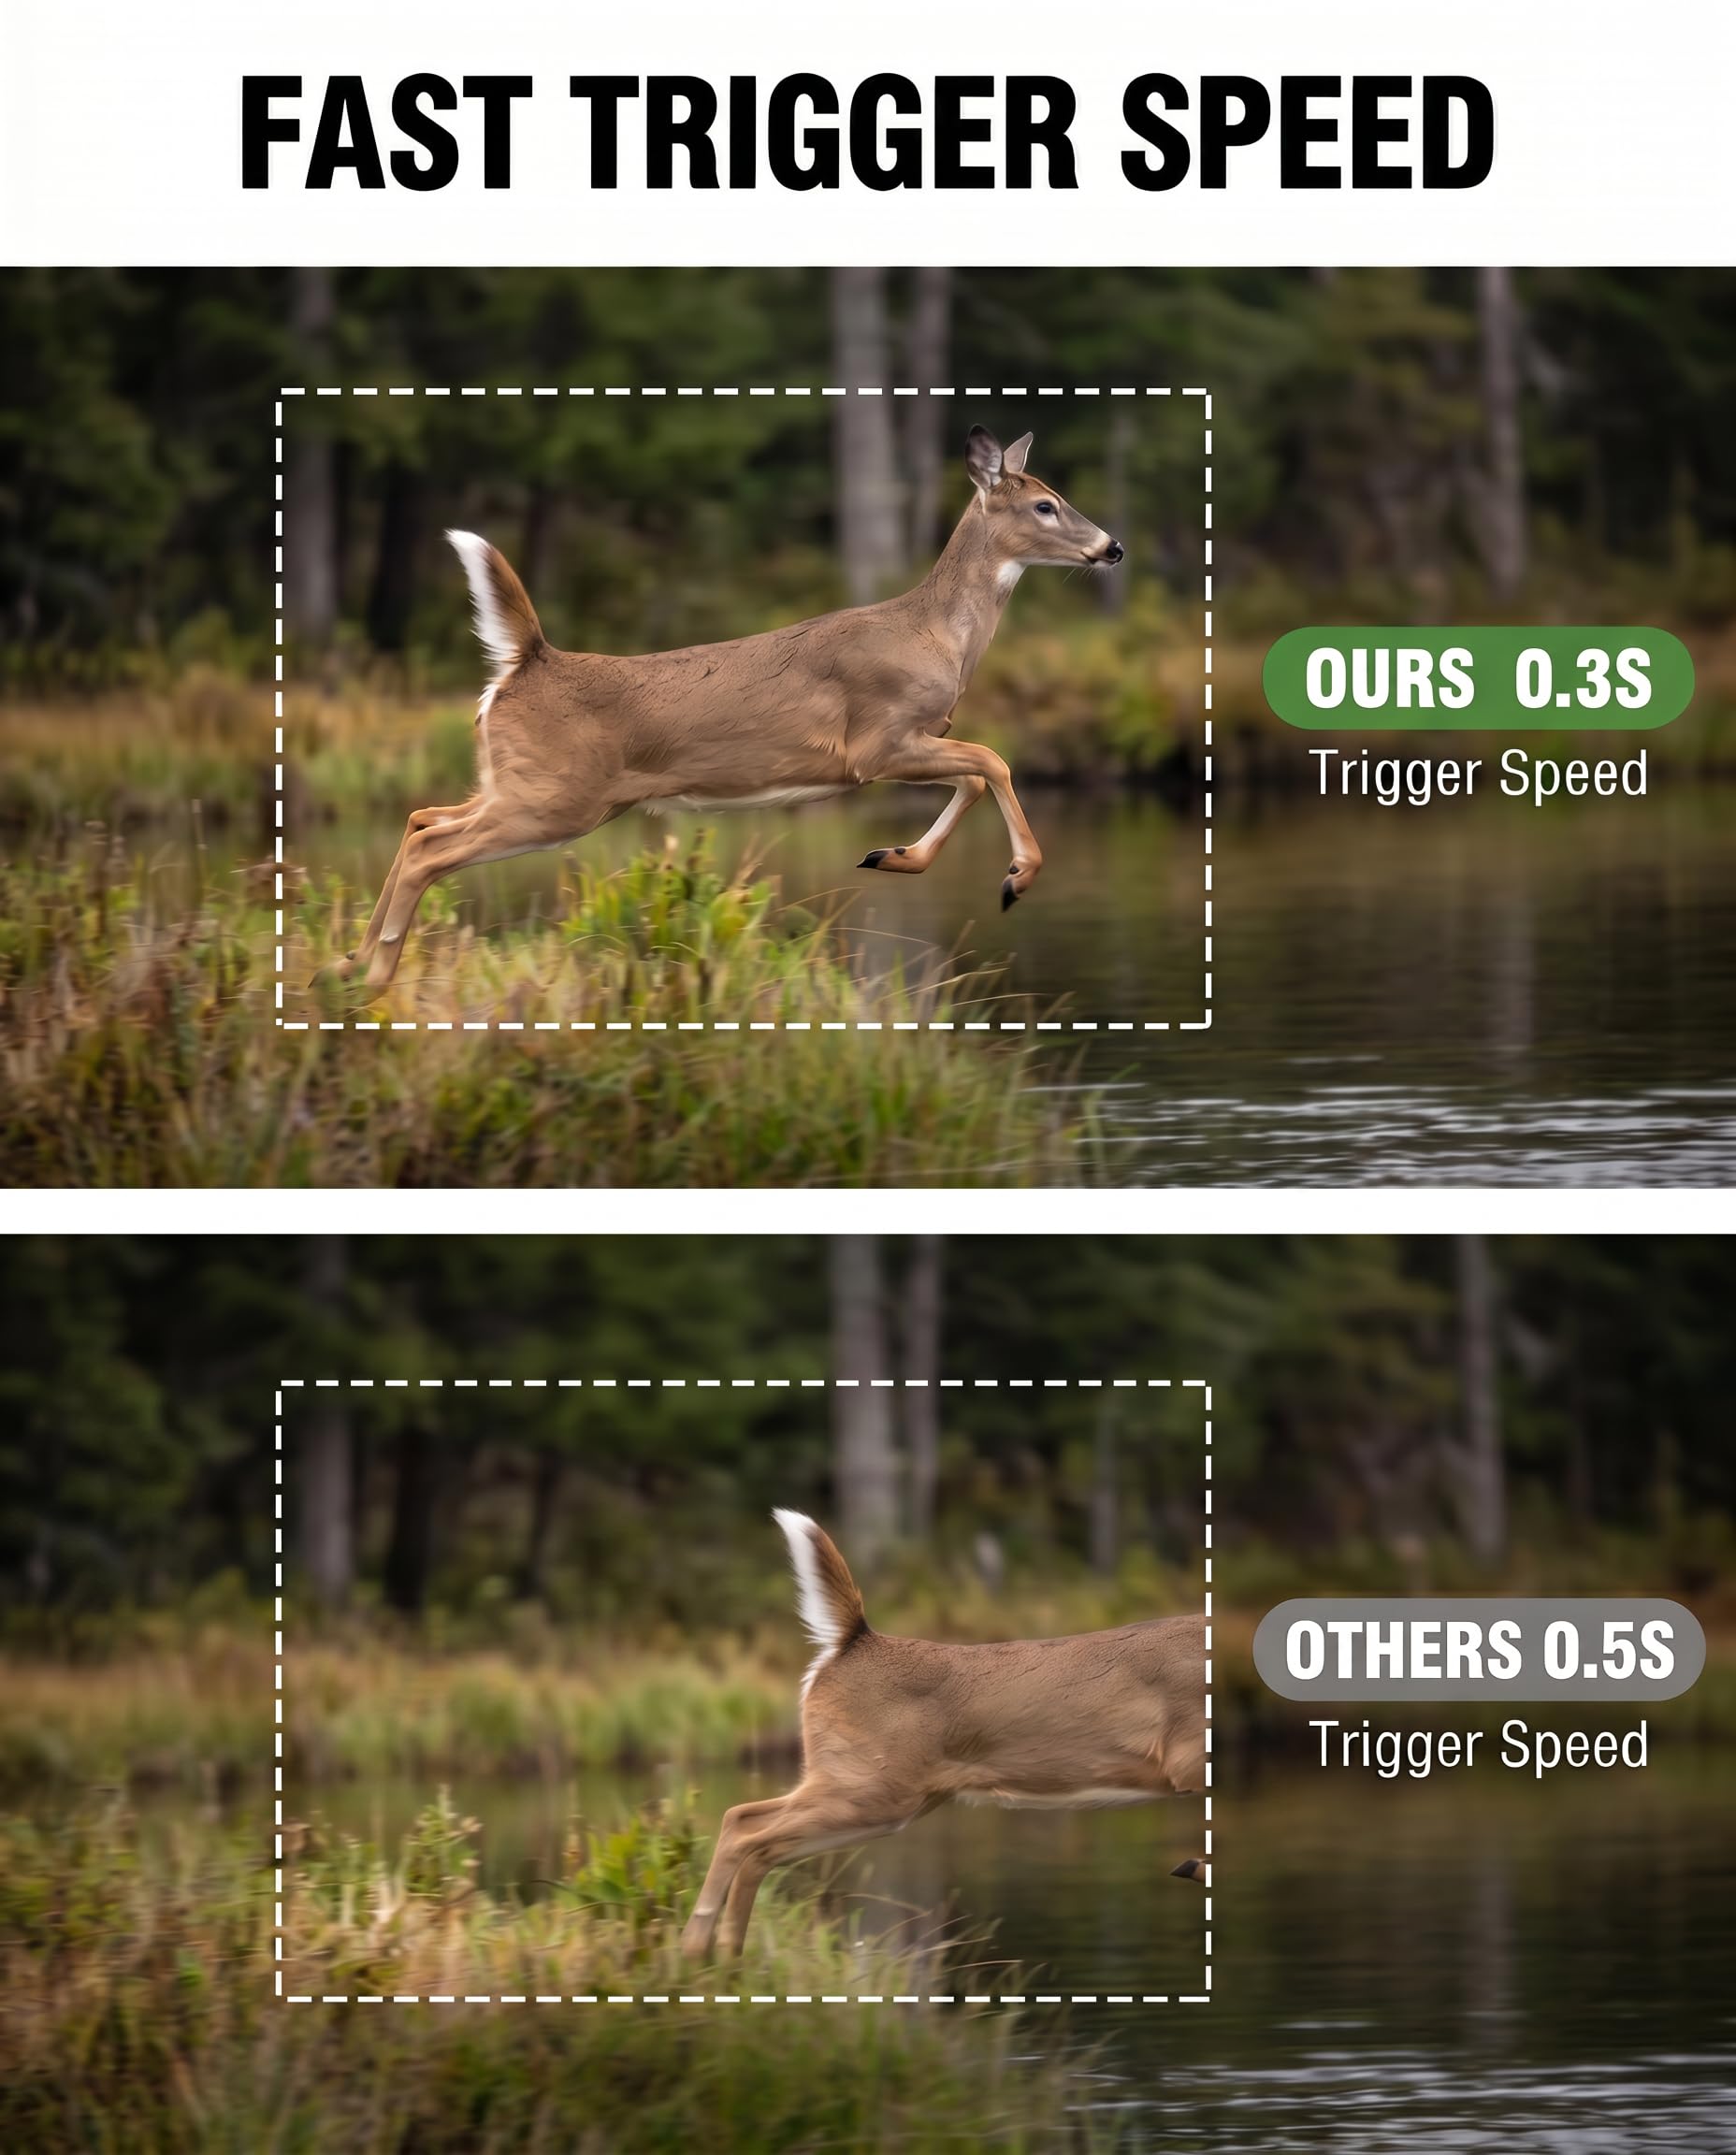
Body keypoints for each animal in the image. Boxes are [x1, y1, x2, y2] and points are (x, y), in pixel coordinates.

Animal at [328, 426, 1122, 992]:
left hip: (521, 784)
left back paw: (344, 966)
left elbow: (973, 776)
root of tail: (528, 662)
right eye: (1045, 504)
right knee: (432, 846)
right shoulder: (874, 743)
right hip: (556, 799)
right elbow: (995, 760)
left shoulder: (912, 741)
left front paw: (894, 855)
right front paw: (1018, 877)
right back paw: (373, 976)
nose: (1112, 546)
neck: (939, 638)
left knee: (420, 817)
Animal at [679, 1510, 1206, 1962]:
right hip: (873, 1788)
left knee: (740, 1818)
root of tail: (854, 1642)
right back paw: (719, 1955)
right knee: (752, 1839)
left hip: (881, 1791)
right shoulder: (1187, 1757)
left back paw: (702, 1953)